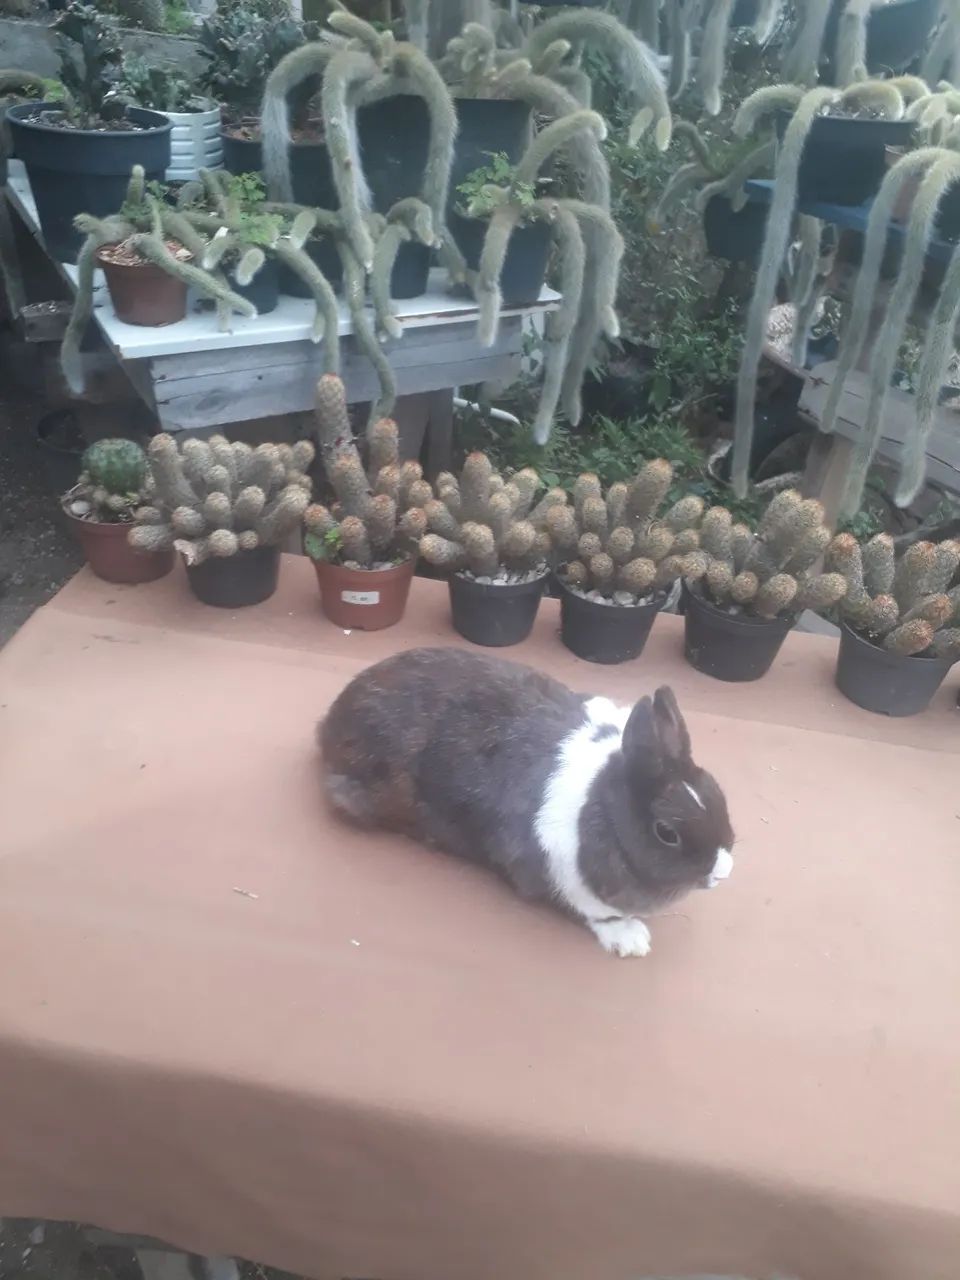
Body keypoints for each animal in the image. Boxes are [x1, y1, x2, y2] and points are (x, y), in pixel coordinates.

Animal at [319, 647, 734, 957]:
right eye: (666, 832)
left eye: (716, 791)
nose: (722, 871)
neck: (601, 803)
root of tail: (330, 721)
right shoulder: (560, 878)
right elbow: (595, 914)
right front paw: (631, 940)